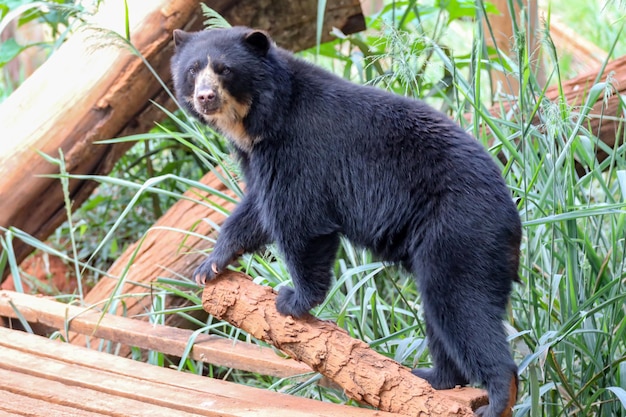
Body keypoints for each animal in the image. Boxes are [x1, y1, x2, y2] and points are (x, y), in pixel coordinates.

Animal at [169, 26, 516, 416]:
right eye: (193, 70)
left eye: (225, 69)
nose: (205, 97)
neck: (260, 120)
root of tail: (511, 214)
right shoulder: (260, 157)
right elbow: (256, 207)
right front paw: (209, 266)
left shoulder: (298, 150)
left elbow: (300, 220)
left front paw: (293, 300)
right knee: (440, 312)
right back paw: (435, 377)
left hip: (459, 229)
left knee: (460, 304)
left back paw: (496, 397)